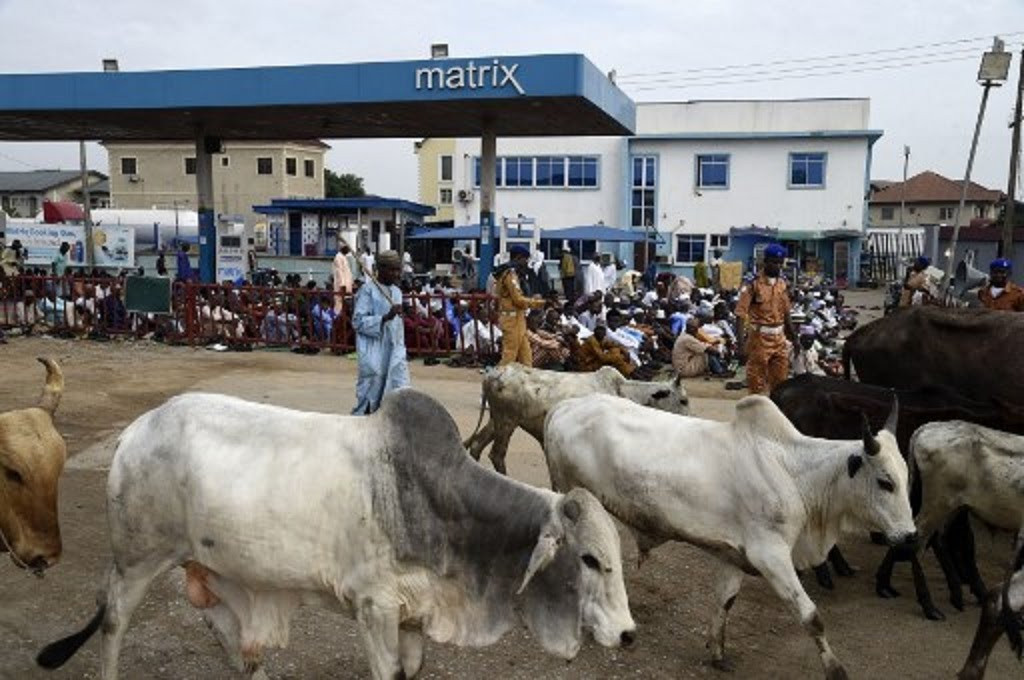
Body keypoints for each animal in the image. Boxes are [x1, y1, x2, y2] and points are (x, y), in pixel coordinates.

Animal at [37, 387, 630, 680]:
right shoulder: (373, 607)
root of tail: (136, 429)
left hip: (209, 564)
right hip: (136, 558)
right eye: (590, 559)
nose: (627, 634)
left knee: (227, 633)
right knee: (114, 622)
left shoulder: (412, 614)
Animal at [464, 366, 688, 473]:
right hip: (507, 421)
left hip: (497, 420)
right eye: (684, 400)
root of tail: (493, 374)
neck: (623, 391)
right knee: (496, 454)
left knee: (476, 445)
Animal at [544, 393, 913, 680]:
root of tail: (564, 407)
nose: (909, 537)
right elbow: (812, 617)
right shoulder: (771, 556)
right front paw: (836, 670)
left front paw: (718, 652)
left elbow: (726, 601)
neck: (793, 473)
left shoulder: (735, 555)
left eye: (907, 478)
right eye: (885, 482)